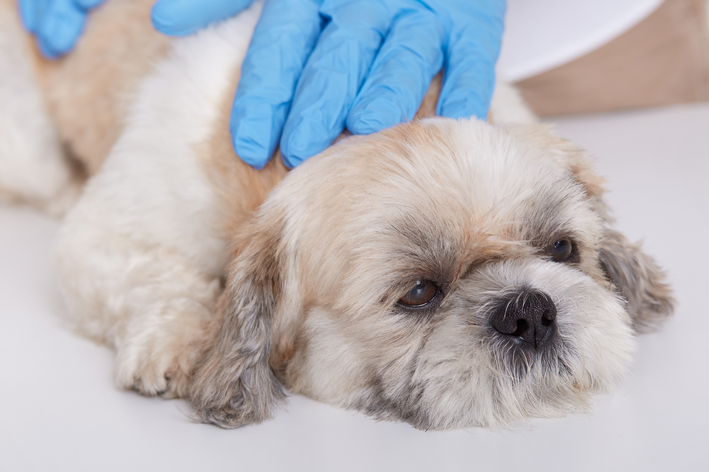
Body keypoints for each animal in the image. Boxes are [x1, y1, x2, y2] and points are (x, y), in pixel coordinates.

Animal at [0, 0, 672, 430]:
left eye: (563, 249)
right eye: (419, 293)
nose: (528, 310)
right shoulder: (107, 233)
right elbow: (151, 279)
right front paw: (177, 338)